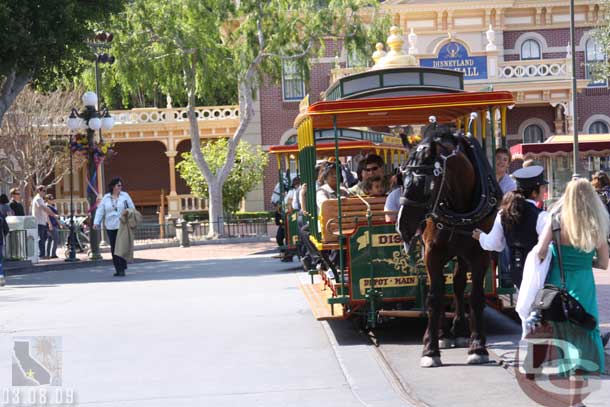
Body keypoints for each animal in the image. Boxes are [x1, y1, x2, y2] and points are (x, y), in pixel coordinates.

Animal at [394, 122, 498, 368]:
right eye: (401, 179)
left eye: (424, 184)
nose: (402, 227)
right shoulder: (433, 252)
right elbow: (435, 296)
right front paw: (430, 349)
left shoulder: (481, 253)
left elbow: (475, 295)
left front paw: (477, 346)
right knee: (443, 286)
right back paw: (442, 333)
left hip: (462, 253)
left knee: (459, 284)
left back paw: (459, 329)